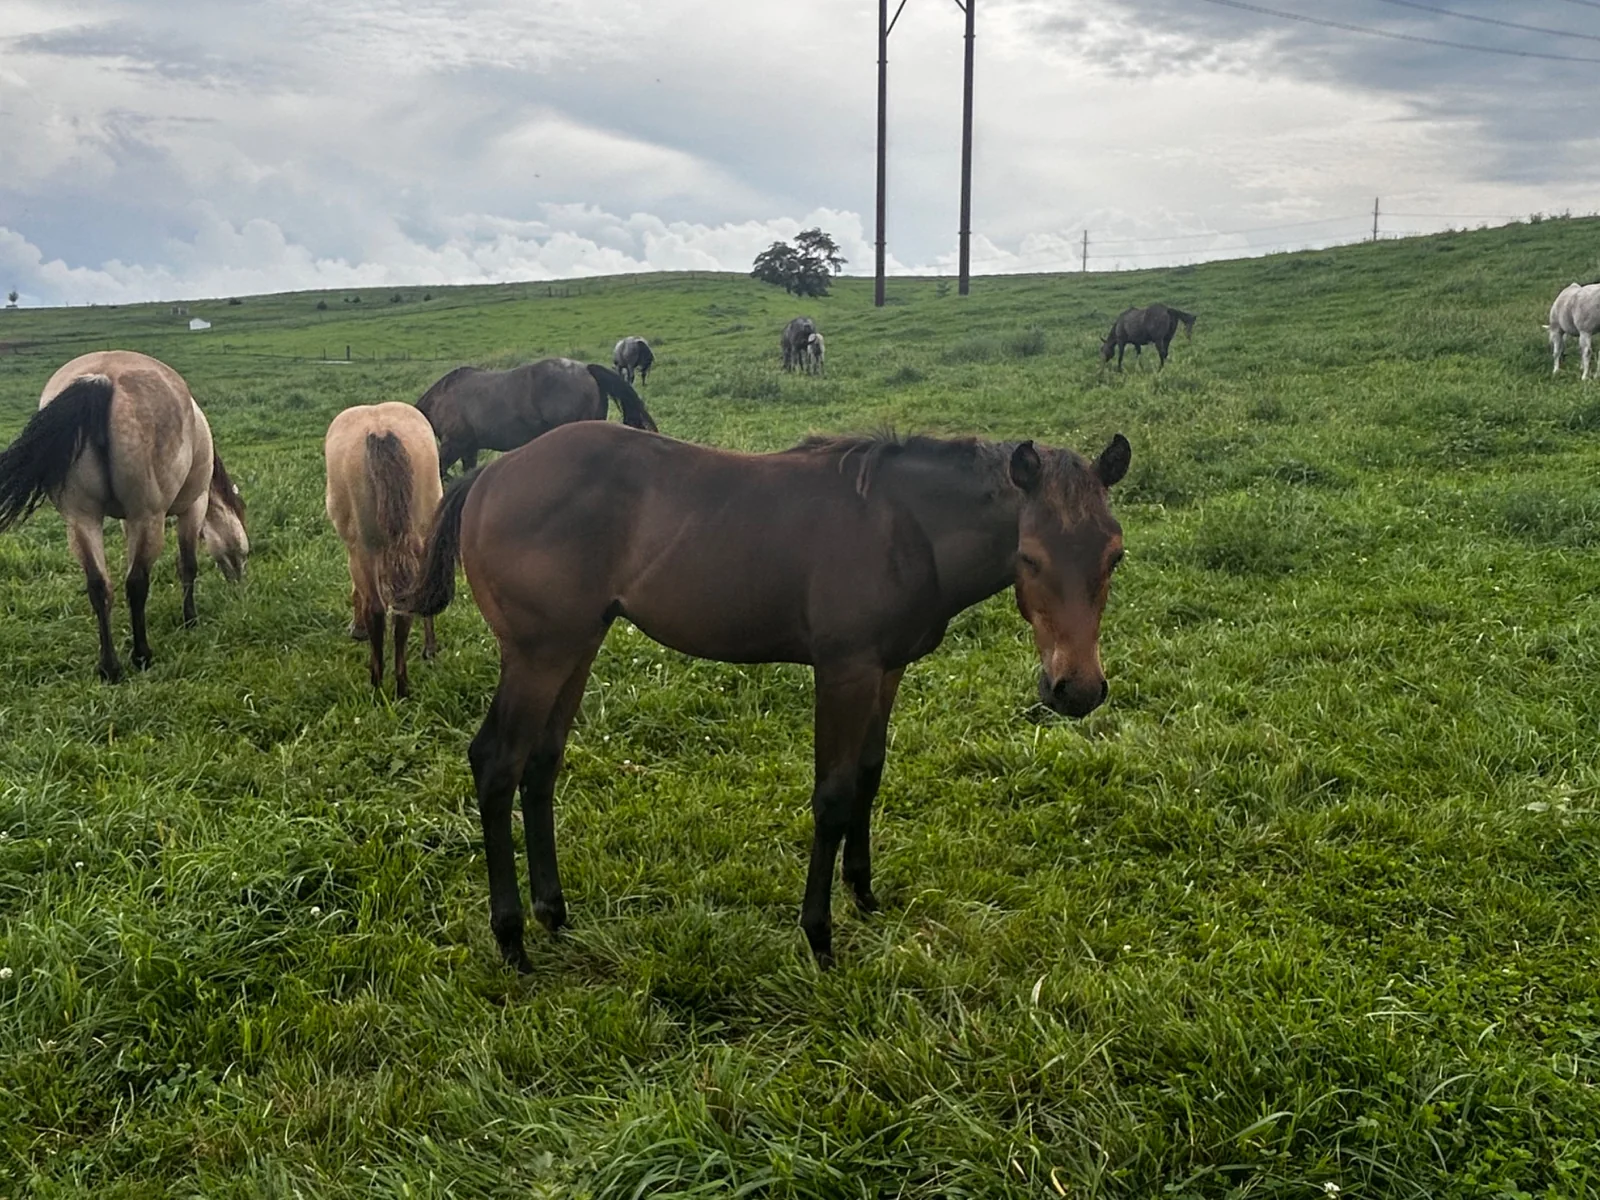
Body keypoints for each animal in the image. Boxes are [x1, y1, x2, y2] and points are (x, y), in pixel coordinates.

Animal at [0, 350, 248, 681]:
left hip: (82, 519)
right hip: (147, 516)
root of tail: (103, 380)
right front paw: (190, 619)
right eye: (243, 548)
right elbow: (187, 566)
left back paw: (110, 668)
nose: (240, 585)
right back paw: (142, 655)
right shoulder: (192, 508)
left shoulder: (124, 522)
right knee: (136, 583)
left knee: (98, 585)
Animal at [324, 403, 442, 698]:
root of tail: (380, 430)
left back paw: (377, 686)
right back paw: (404, 683)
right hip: (418, 539)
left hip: (364, 549)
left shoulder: (357, 553)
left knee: (376, 610)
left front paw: (357, 629)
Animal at [405, 419, 1130, 973]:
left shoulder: (886, 669)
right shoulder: (844, 670)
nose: (1077, 689)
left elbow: (869, 776)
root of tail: (488, 476)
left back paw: (554, 915)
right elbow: (833, 796)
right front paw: (819, 936)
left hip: (576, 647)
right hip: (538, 654)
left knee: (541, 765)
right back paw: (512, 941)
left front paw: (864, 895)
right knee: (497, 763)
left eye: (1114, 555)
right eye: (1030, 556)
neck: (906, 527)